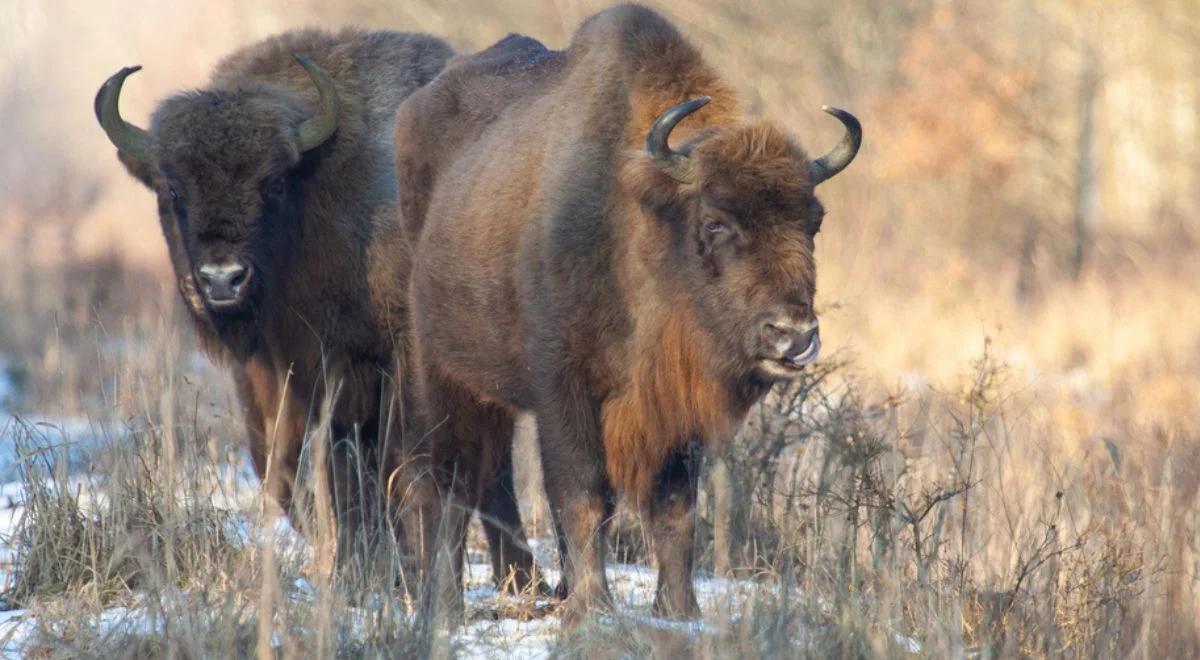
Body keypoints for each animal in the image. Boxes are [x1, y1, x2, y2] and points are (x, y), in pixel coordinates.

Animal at [93, 28, 540, 592]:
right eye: (171, 188)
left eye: (273, 183)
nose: (221, 279)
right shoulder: (288, 370)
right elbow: (305, 471)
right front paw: (357, 572)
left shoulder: (395, 358)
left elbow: (397, 465)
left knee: (487, 468)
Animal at [398, 5, 859, 624]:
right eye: (715, 221)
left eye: (814, 221)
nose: (793, 336)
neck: (643, 218)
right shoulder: (563, 390)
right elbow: (584, 494)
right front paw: (593, 605)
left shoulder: (675, 410)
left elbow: (675, 507)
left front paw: (679, 609)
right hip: (443, 371)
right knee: (451, 479)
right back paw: (444, 603)